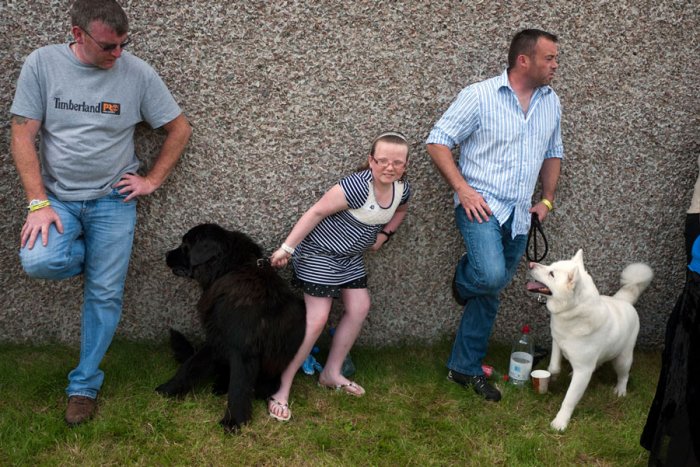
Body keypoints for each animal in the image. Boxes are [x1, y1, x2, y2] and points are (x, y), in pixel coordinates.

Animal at [157, 225, 304, 434]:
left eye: (185, 246)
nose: (166, 254)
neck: (229, 270)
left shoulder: (242, 351)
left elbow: (238, 388)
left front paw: (234, 421)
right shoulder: (218, 337)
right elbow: (190, 365)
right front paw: (168, 389)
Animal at [528, 250, 652, 434]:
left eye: (551, 274)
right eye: (551, 266)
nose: (530, 264)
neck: (573, 314)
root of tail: (624, 301)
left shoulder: (583, 370)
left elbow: (570, 398)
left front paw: (560, 422)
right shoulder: (557, 341)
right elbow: (554, 366)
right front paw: (552, 377)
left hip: (623, 359)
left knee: (624, 374)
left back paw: (620, 390)